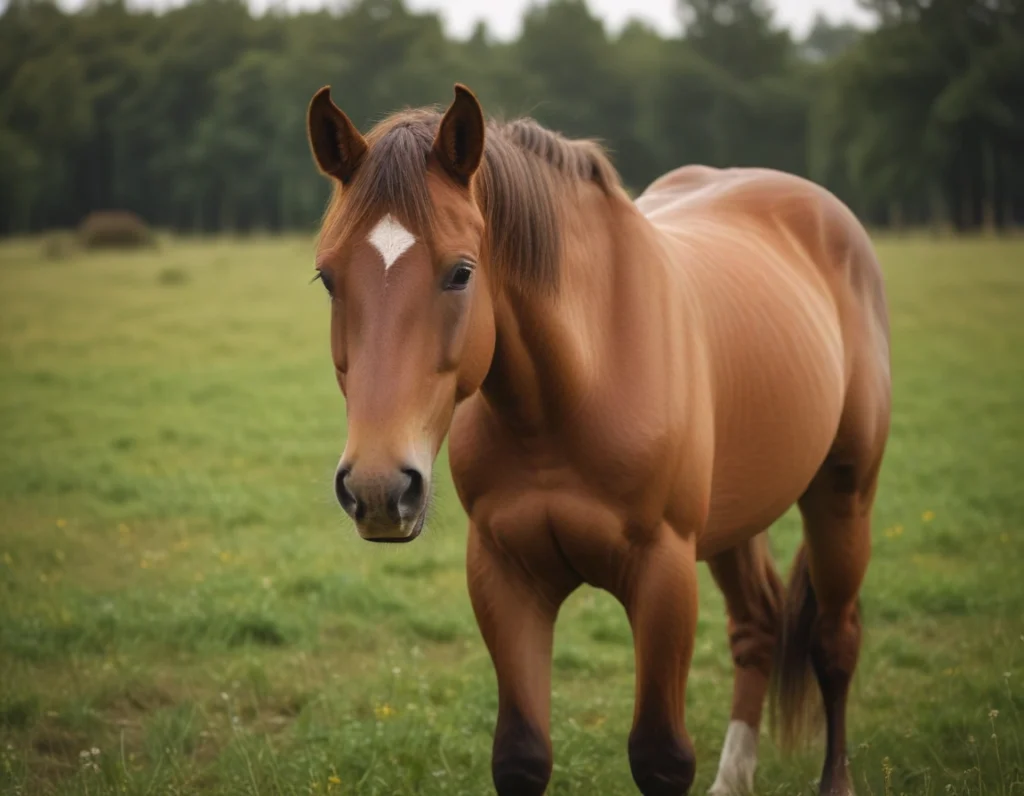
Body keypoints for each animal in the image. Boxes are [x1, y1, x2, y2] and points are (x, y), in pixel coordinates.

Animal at [303, 84, 888, 790]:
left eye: (462, 272)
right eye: (328, 277)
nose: (379, 488)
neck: (571, 392)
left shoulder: (664, 575)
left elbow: (660, 756)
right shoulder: (504, 575)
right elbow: (521, 754)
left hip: (843, 493)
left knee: (834, 642)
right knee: (758, 625)